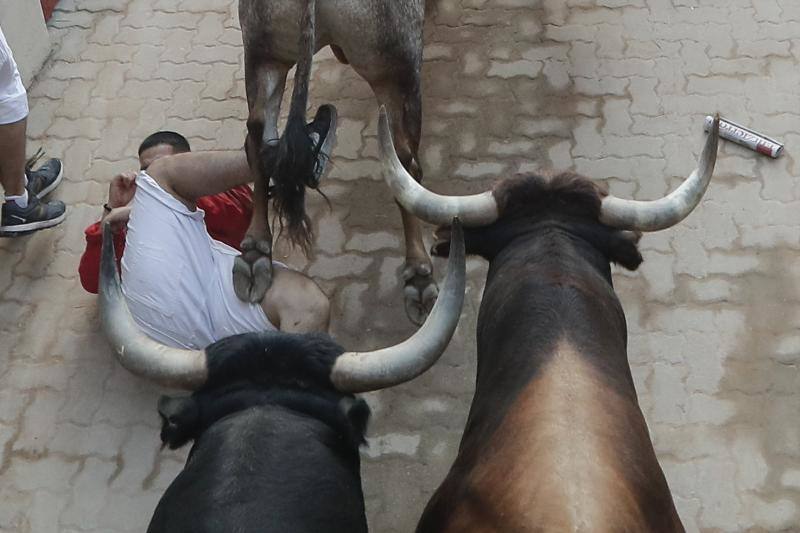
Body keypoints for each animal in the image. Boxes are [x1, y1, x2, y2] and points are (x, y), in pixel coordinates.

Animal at [236, 0, 438, 322]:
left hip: (262, 52)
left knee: (258, 134)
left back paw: (255, 254)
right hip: (397, 66)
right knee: (405, 160)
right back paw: (419, 278)